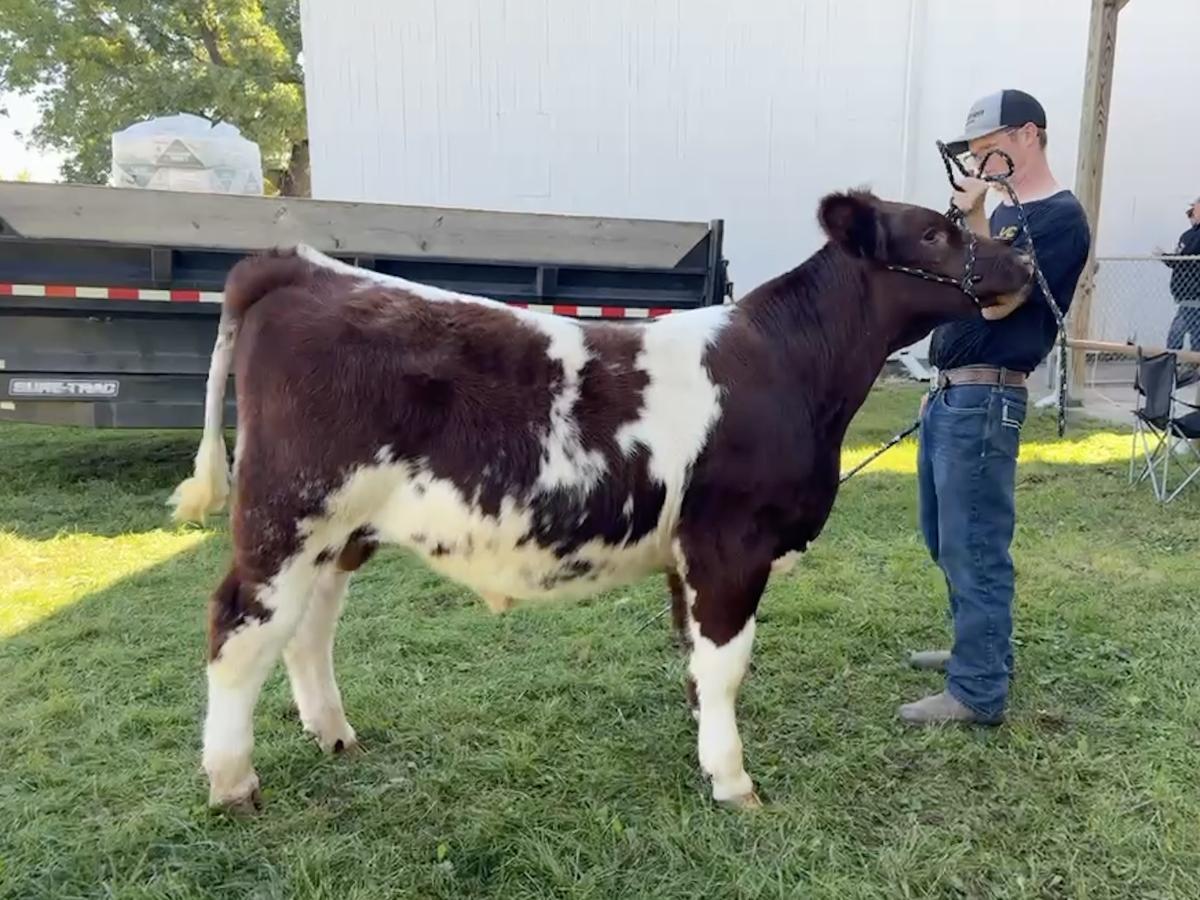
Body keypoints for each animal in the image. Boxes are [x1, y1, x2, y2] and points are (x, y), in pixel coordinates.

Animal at [169, 189, 1032, 813]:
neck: (793, 371)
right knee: (240, 628)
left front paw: (704, 742)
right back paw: (233, 782)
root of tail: (297, 265)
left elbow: (698, 660)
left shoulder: (690, 553)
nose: (1022, 256)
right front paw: (733, 781)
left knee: (308, 629)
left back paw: (334, 735)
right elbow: (728, 664)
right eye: (934, 233)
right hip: (287, 515)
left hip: (341, 530)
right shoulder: (731, 542)